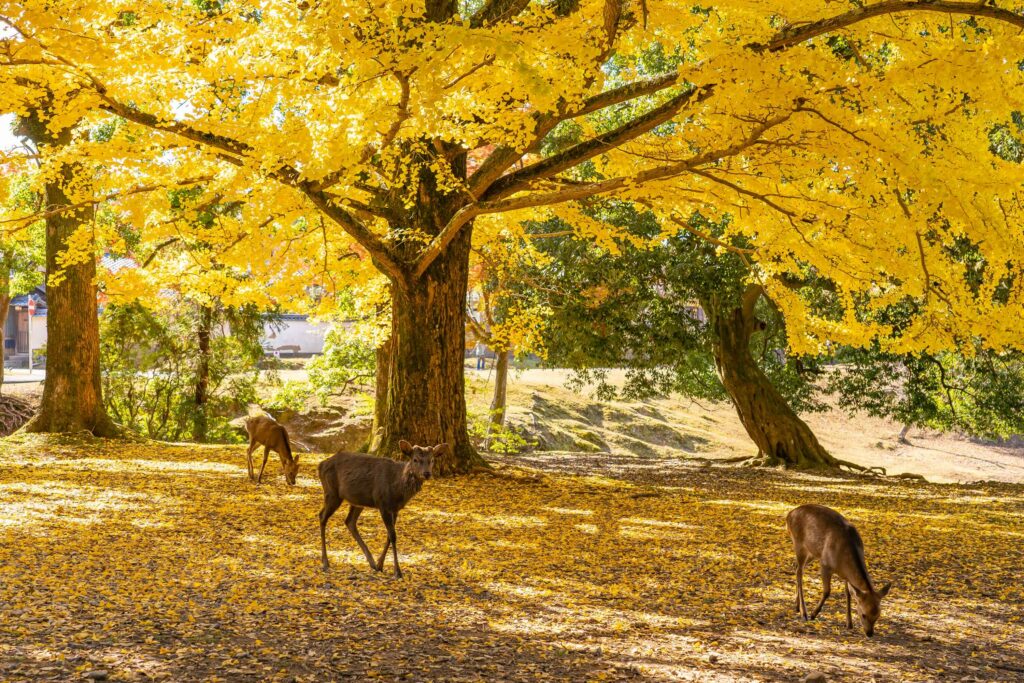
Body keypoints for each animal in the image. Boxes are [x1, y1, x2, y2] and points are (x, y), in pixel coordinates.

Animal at [315, 440, 444, 581]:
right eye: (415, 459)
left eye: (432, 460)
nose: (427, 473)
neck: (397, 488)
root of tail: (321, 465)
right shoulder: (383, 504)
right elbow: (393, 535)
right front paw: (397, 572)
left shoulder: (395, 509)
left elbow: (389, 535)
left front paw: (380, 564)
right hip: (331, 492)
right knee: (322, 516)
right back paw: (325, 562)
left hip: (357, 501)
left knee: (349, 521)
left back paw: (371, 562)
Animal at [786, 505, 892, 638]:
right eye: (864, 614)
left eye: (878, 615)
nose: (869, 633)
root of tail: (789, 515)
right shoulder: (825, 564)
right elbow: (827, 591)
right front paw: (813, 614)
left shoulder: (846, 576)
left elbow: (848, 594)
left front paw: (849, 623)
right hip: (799, 544)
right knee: (799, 572)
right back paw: (804, 613)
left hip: (812, 552)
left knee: (796, 568)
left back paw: (796, 605)